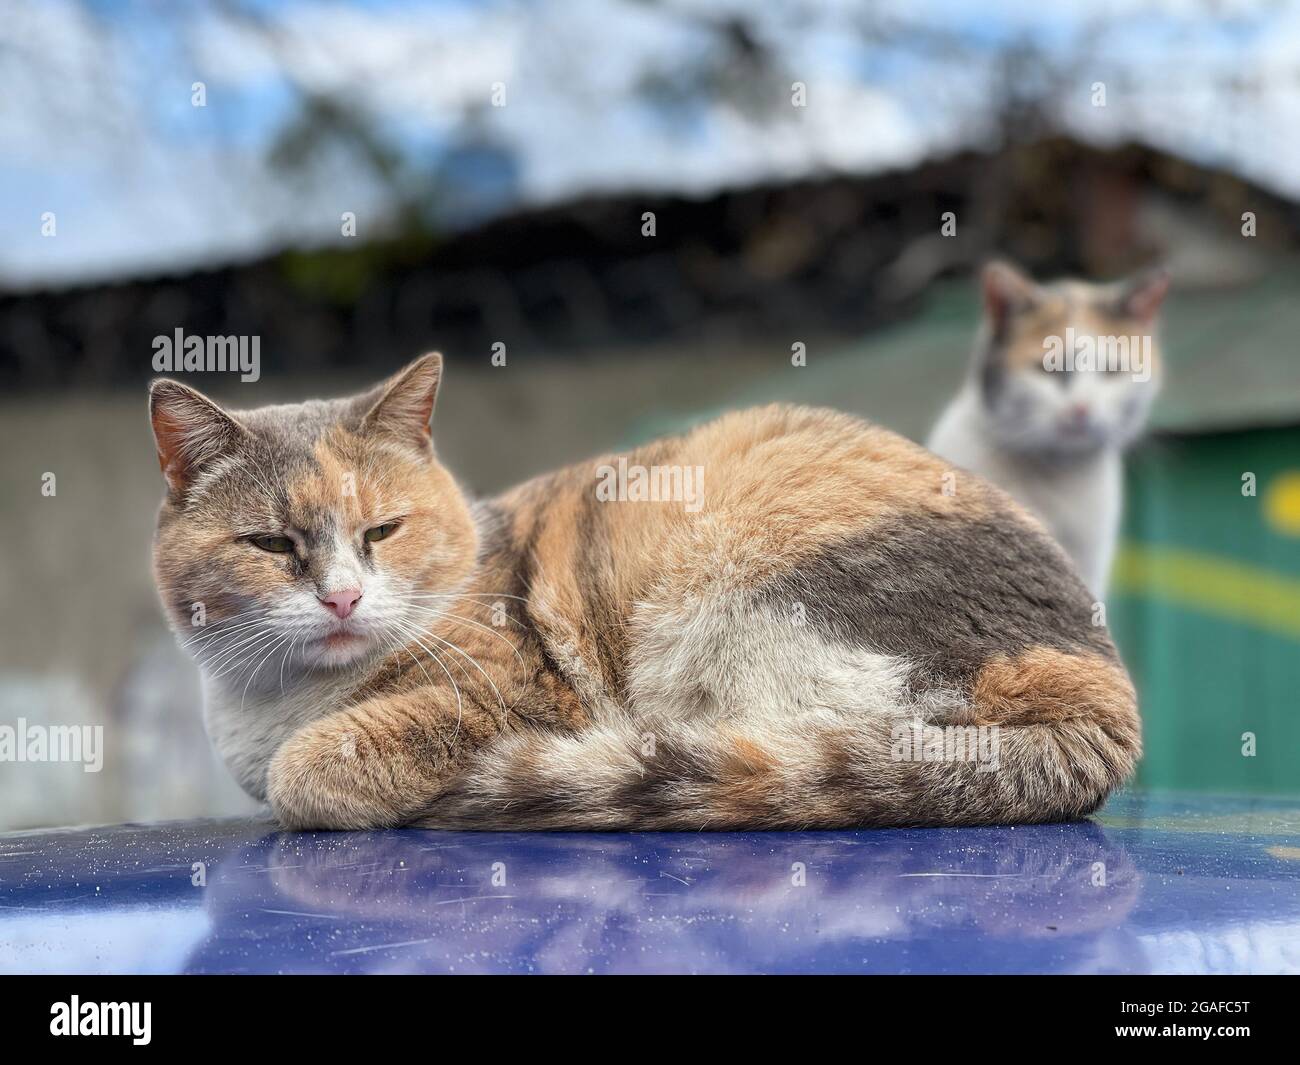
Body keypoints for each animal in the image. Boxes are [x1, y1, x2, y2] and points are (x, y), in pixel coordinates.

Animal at [149, 356, 1138, 832]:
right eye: (271, 544)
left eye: (383, 531)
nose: (344, 600)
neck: (275, 701)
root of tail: (1100, 691)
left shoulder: (513, 695)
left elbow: (307, 770)